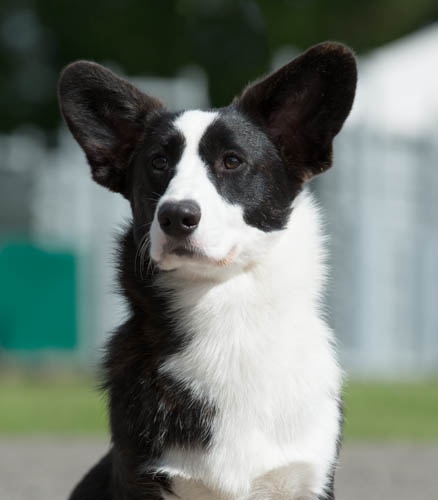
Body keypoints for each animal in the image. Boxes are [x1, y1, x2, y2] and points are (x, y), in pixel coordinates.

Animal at [59, 42, 356, 500]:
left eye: (232, 161)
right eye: (158, 163)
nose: (176, 216)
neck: (226, 311)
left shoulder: (307, 479)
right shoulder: (142, 478)